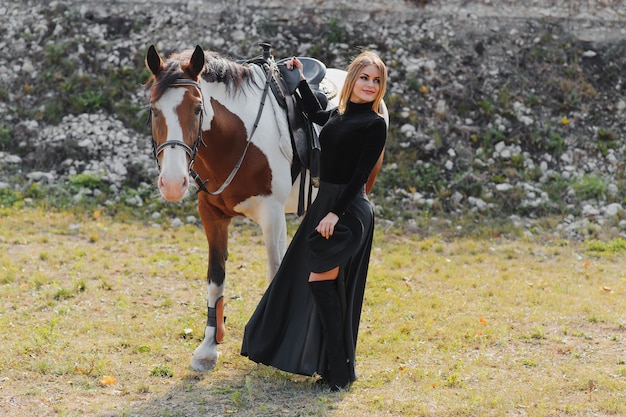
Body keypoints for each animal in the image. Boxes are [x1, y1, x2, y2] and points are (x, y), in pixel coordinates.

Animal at [144, 44, 386, 370]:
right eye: (153, 109)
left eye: (197, 108)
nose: (171, 183)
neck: (237, 139)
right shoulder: (212, 215)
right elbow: (216, 277)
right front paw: (209, 347)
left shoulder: (272, 215)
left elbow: (275, 272)